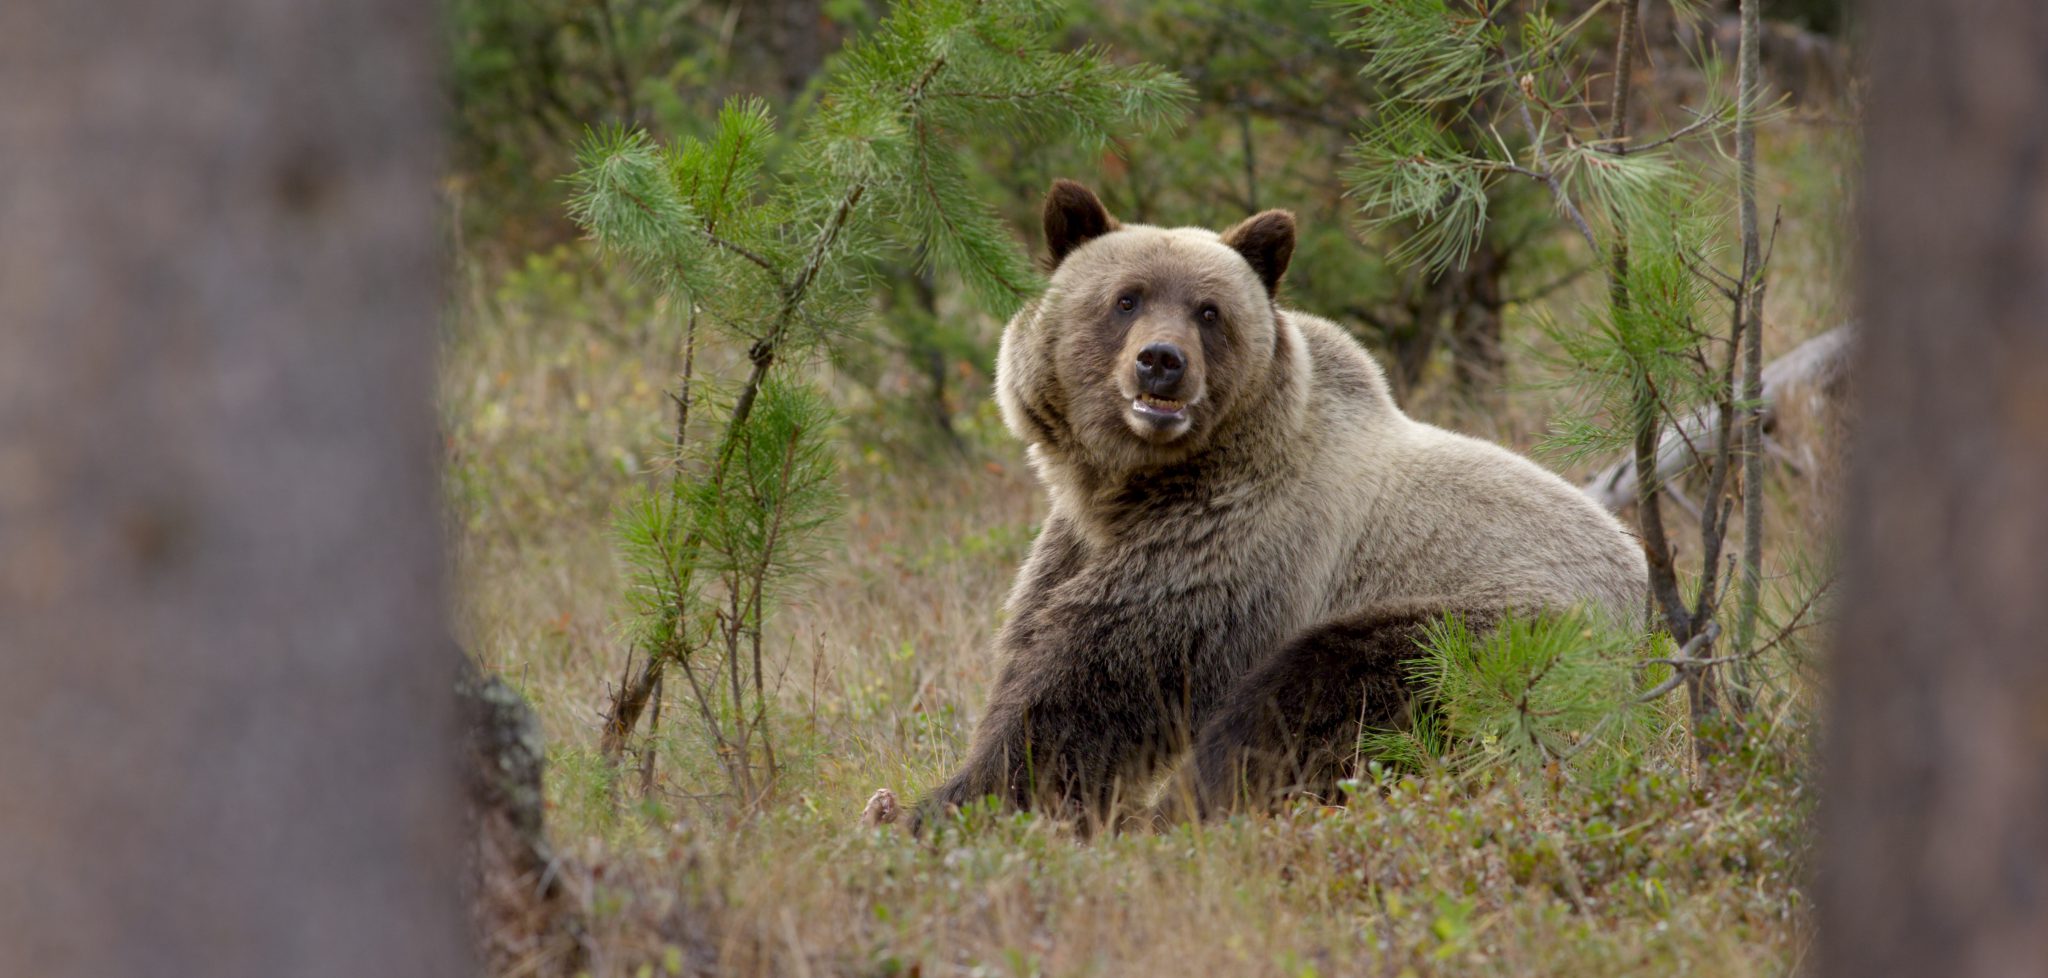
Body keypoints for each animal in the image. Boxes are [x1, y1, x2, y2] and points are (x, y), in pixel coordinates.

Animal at [913, 180, 1646, 830]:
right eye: (1126, 298)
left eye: (1209, 311)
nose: (1161, 361)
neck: (1137, 486)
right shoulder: (1075, 545)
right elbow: (1034, 652)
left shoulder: (1233, 550)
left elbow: (1093, 690)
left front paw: (945, 804)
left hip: (1501, 633)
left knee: (1318, 691)